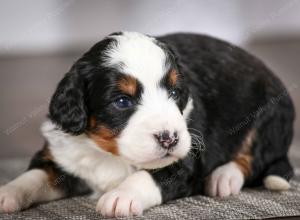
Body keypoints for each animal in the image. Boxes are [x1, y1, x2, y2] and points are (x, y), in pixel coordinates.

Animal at [0, 31, 296, 217]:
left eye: (175, 93)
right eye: (122, 101)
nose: (169, 138)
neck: (110, 153)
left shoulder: (187, 160)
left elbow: (148, 175)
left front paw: (121, 196)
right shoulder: (63, 154)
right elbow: (34, 177)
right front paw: (7, 192)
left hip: (269, 116)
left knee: (254, 157)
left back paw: (224, 178)